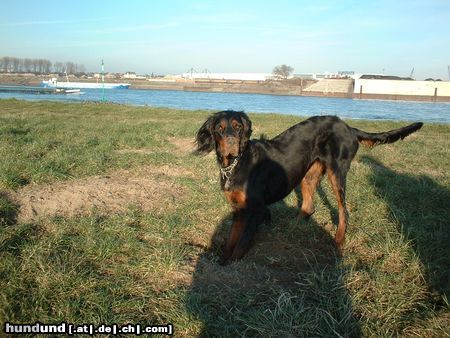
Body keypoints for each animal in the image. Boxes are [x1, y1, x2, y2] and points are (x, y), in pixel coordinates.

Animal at [195, 111, 424, 264]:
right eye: (219, 129)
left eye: (238, 126)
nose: (231, 142)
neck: (236, 163)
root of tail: (348, 127)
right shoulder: (239, 209)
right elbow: (231, 239)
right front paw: (223, 259)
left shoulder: (256, 209)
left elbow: (242, 242)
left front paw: (231, 262)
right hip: (307, 173)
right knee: (309, 206)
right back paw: (294, 225)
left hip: (337, 171)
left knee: (344, 209)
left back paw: (338, 239)